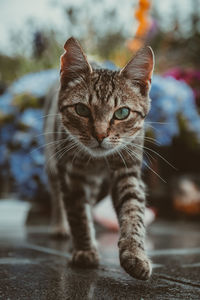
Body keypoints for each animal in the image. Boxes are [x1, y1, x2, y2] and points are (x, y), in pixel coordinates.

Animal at [43, 37, 155, 282]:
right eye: (82, 109)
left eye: (122, 113)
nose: (100, 135)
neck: (97, 162)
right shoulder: (71, 175)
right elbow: (77, 213)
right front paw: (85, 250)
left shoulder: (128, 171)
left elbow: (133, 211)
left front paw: (135, 253)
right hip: (52, 159)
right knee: (57, 195)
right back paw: (60, 225)